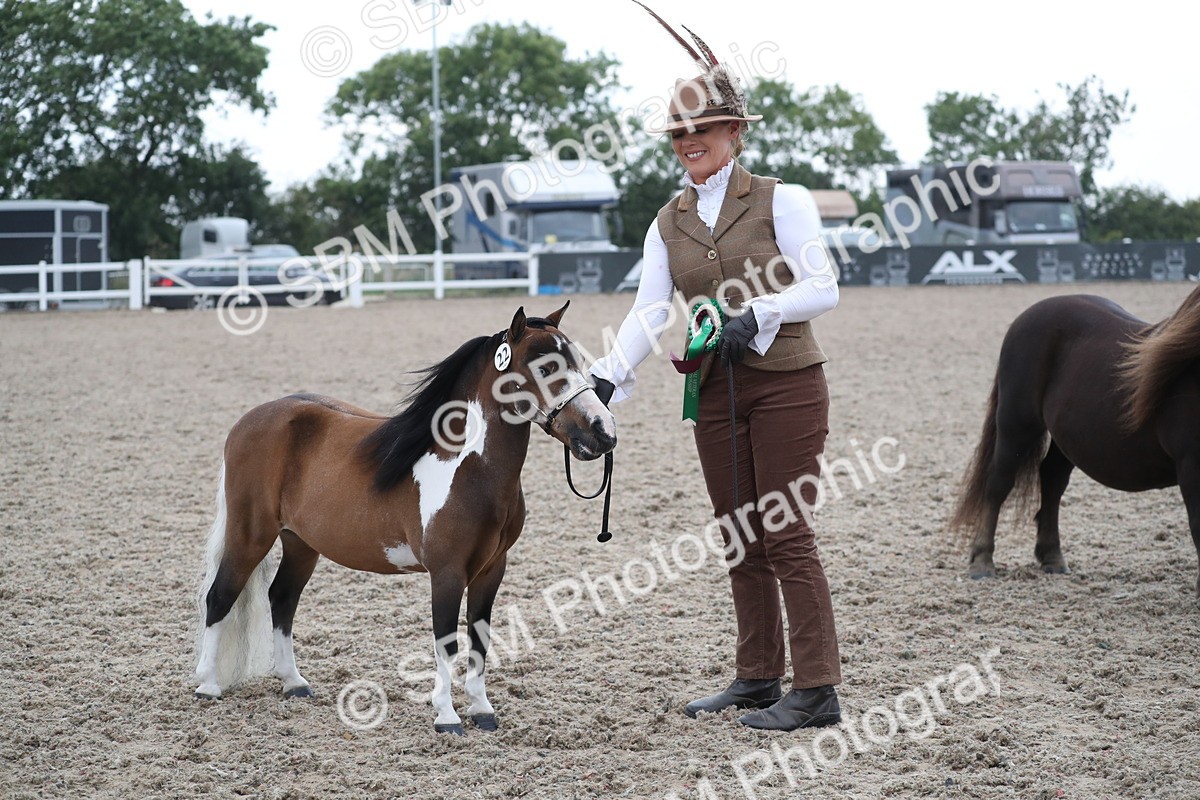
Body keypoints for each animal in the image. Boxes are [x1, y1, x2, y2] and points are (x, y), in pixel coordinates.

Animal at [192, 303, 617, 734]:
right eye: (545, 368)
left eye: (578, 363)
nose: (603, 432)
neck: (467, 468)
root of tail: (248, 421)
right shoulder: (447, 573)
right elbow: (446, 641)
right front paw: (447, 716)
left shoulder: (491, 570)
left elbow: (479, 638)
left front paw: (482, 710)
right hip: (251, 533)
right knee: (221, 595)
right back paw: (207, 685)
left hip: (300, 542)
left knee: (282, 598)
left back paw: (293, 683)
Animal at [951, 282, 1200, 593]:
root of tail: (1027, 316)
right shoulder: (1191, 467)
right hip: (1017, 426)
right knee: (998, 484)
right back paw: (982, 561)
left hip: (1065, 438)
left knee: (1052, 479)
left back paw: (1052, 557)